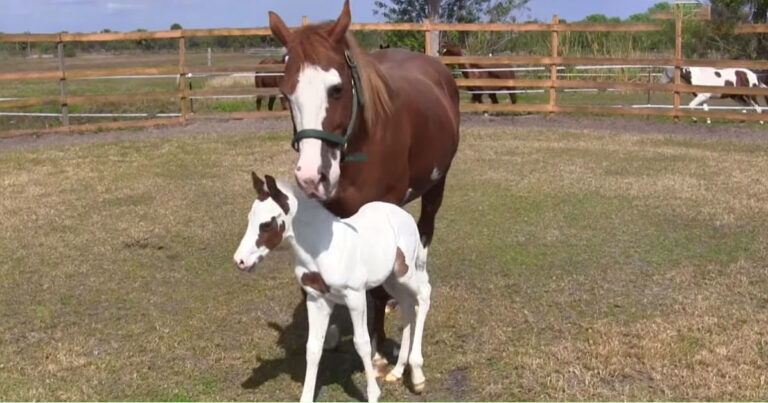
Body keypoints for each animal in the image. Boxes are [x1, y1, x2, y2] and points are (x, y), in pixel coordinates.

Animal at [232, 174, 432, 403]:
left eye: (266, 224)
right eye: (250, 218)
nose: (240, 261)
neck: (321, 250)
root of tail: (403, 214)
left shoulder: (355, 297)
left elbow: (362, 343)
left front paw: (373, 394)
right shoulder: (317, 299)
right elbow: (313, 347)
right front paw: (306, 397)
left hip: (405, 273)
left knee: (424, 294)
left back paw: (417, 376)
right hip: (391, 279)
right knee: (407, 306)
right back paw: (398, 371)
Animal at [268, 0, 460, 382]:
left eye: (337, 88)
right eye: (285, 93)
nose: (311, 177)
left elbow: (375, 293)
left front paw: (376, 347)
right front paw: (329, 332)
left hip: (436, 187)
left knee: (424, 236)